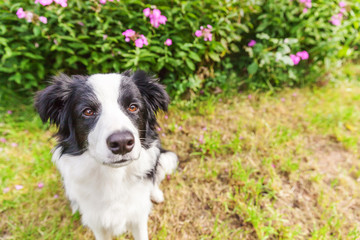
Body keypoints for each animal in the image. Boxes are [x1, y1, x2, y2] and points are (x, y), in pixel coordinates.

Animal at [34, 70, 178, 239]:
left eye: (133, 107)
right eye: (88, 111)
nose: (122, 142)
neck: (114, 177)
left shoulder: (138, 216)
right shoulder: (97, 222)